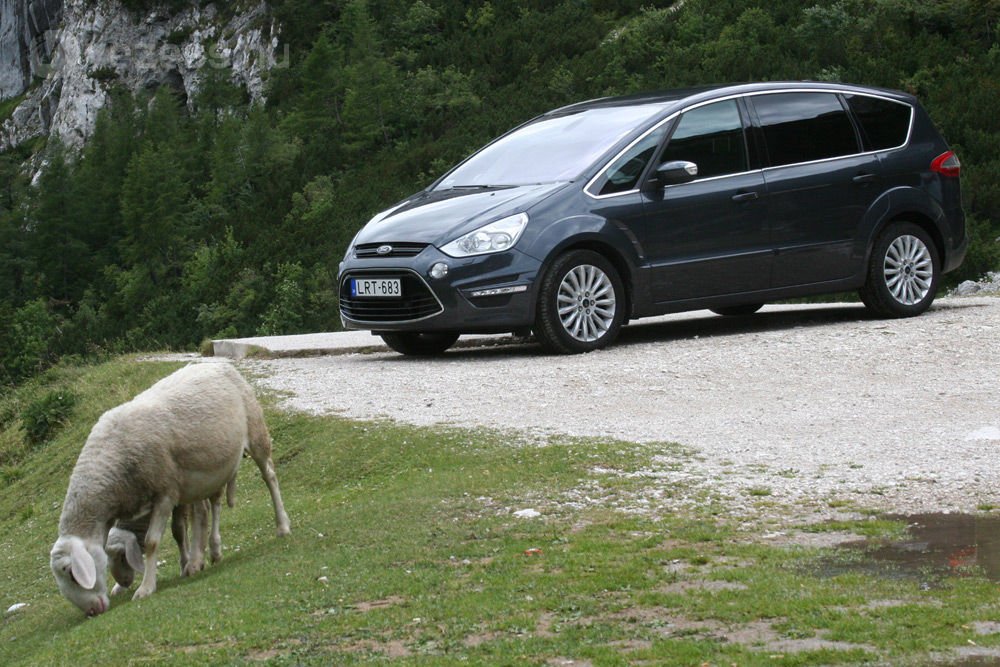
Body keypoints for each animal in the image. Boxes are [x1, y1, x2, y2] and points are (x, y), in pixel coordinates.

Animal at [51, 362, 292, 620]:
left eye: (69, 571)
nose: (92, 611)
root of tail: (219, 363)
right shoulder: (175, 491)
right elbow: (179, 530)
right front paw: (187, 563)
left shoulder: (166, 493)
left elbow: (152, 541)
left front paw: (146, 588)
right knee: (210, 507)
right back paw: (208, 553)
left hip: (256, 433)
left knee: (269, 477)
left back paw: (282, 526)